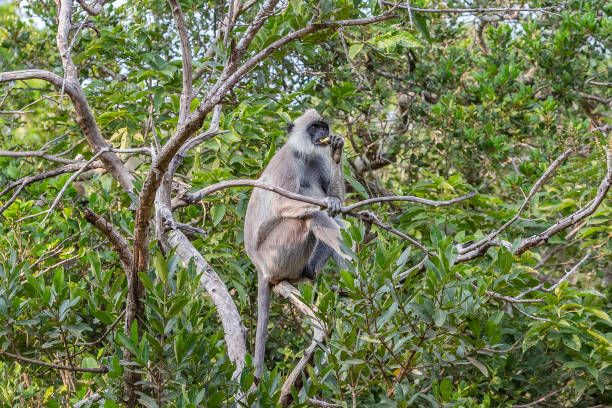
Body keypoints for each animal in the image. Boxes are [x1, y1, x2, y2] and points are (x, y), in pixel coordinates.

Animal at [246, 107, 346, 376]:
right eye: (314, 128)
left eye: (323, 127)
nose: (323, 134)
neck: (304, 154)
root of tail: (259, 266)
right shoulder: (287, 163)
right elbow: (284, 204)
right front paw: (327, 204)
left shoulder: (318, 161)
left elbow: (337, 202)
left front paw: (337, 153)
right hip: (276, 255)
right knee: (311, 218)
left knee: (336, 223)